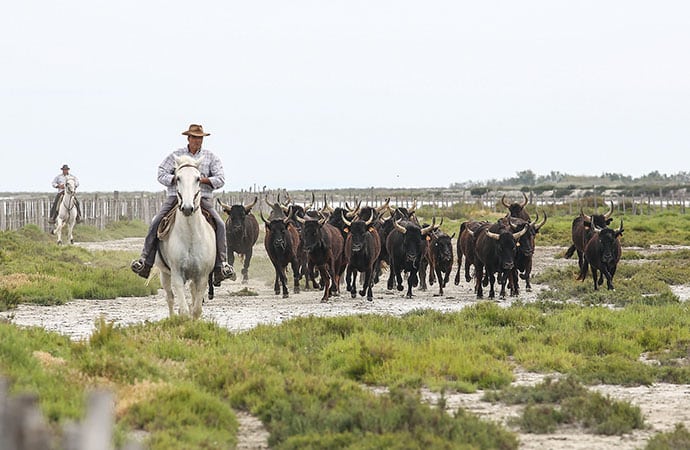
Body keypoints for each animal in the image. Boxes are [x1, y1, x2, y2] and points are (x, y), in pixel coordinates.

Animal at [155, 154, 216, 319]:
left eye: (198, 178)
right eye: (178, 178)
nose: (188, 208)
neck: (191, 237)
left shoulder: (202, 277)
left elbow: (196, 309)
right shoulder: (177, 275)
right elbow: (183, 310)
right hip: (164, 273)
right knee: (170, 298)